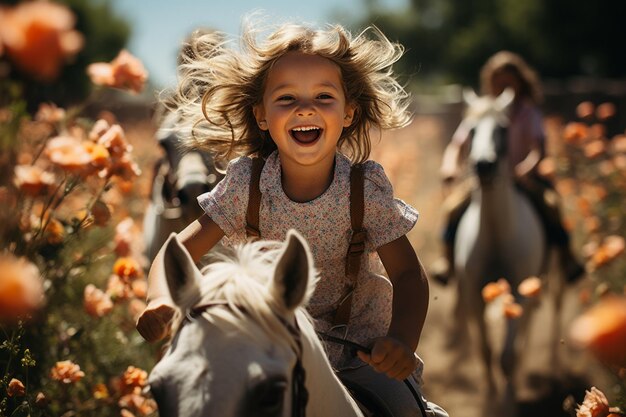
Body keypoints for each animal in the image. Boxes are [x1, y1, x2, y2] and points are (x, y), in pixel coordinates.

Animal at [450, 89, 544, 392]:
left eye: (503, 129)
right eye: (471, 130)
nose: (484, 165)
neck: (496, 236)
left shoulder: (517, 290)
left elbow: (507, 357)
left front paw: (508, 397)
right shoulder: (473, 294)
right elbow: (485, 351)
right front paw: (491, 395)